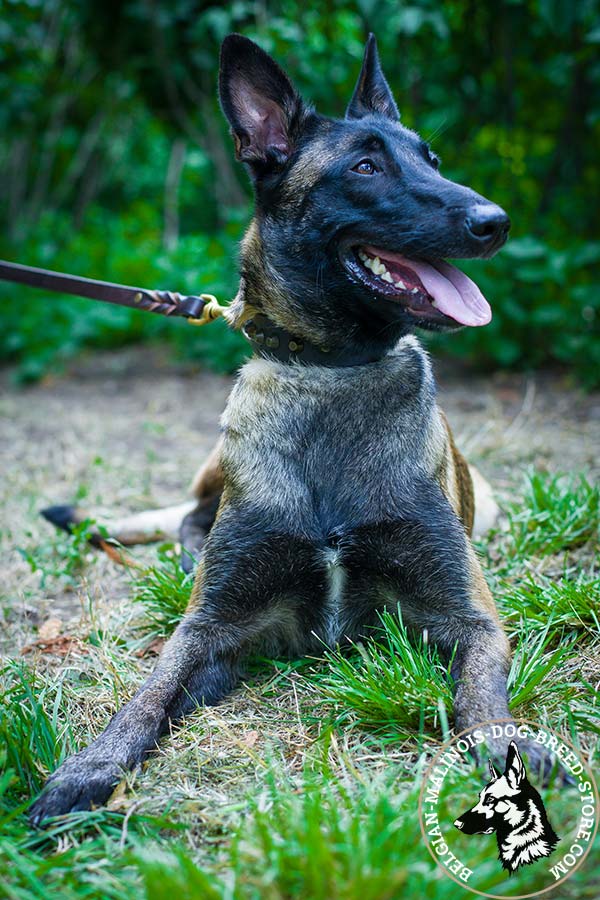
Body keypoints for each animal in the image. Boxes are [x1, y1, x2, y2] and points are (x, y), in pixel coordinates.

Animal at [30, 33, 552, 824]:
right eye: (365, 167)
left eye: (431, 158)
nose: (496, 222)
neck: (332, 373)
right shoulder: (212, 627)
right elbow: (148, 694)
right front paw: (88, 767)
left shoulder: (470, 618)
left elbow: (483, 697)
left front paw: (506, 753)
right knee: (187, 519)